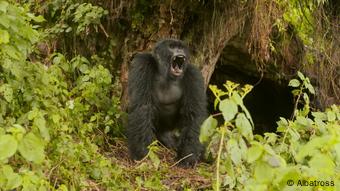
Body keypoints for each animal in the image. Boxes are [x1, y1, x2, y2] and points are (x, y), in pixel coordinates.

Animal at [127, 38, 207, 166]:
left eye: (181, 47)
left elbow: (193, 114)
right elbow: (143, 106)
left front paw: (188, 156)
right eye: (172, 47)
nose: (179, 51)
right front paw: (143, 153)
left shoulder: (194, 74)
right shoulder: (143, 63)